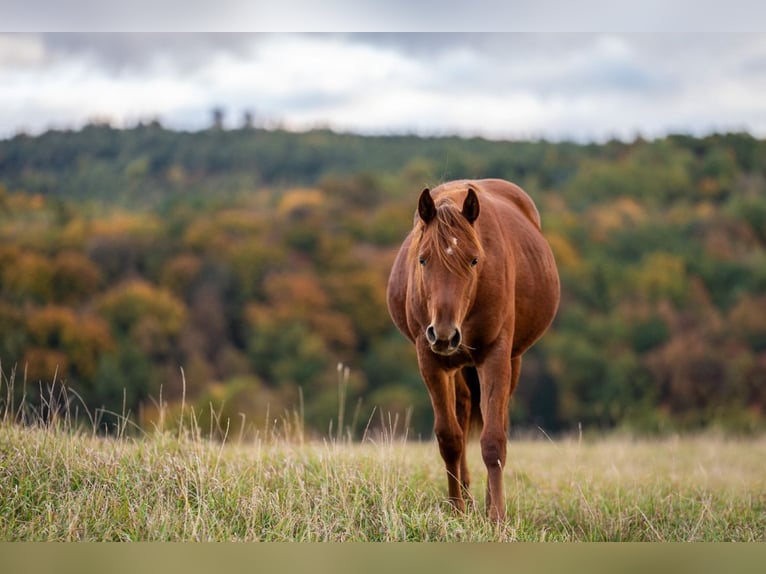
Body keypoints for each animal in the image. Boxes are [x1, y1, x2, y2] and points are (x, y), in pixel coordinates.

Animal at [386, 178, 560, 521]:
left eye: (474, 260)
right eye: (423, 259)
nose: (444, 333)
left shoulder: (495, 356)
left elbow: (493, 441)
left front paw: (497, 518)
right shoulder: (431, 361)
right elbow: (450, 439)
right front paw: (456, 510)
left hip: (512, 360)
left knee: (496, 422)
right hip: (456, 365)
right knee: (463, 413)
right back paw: (466, 496)